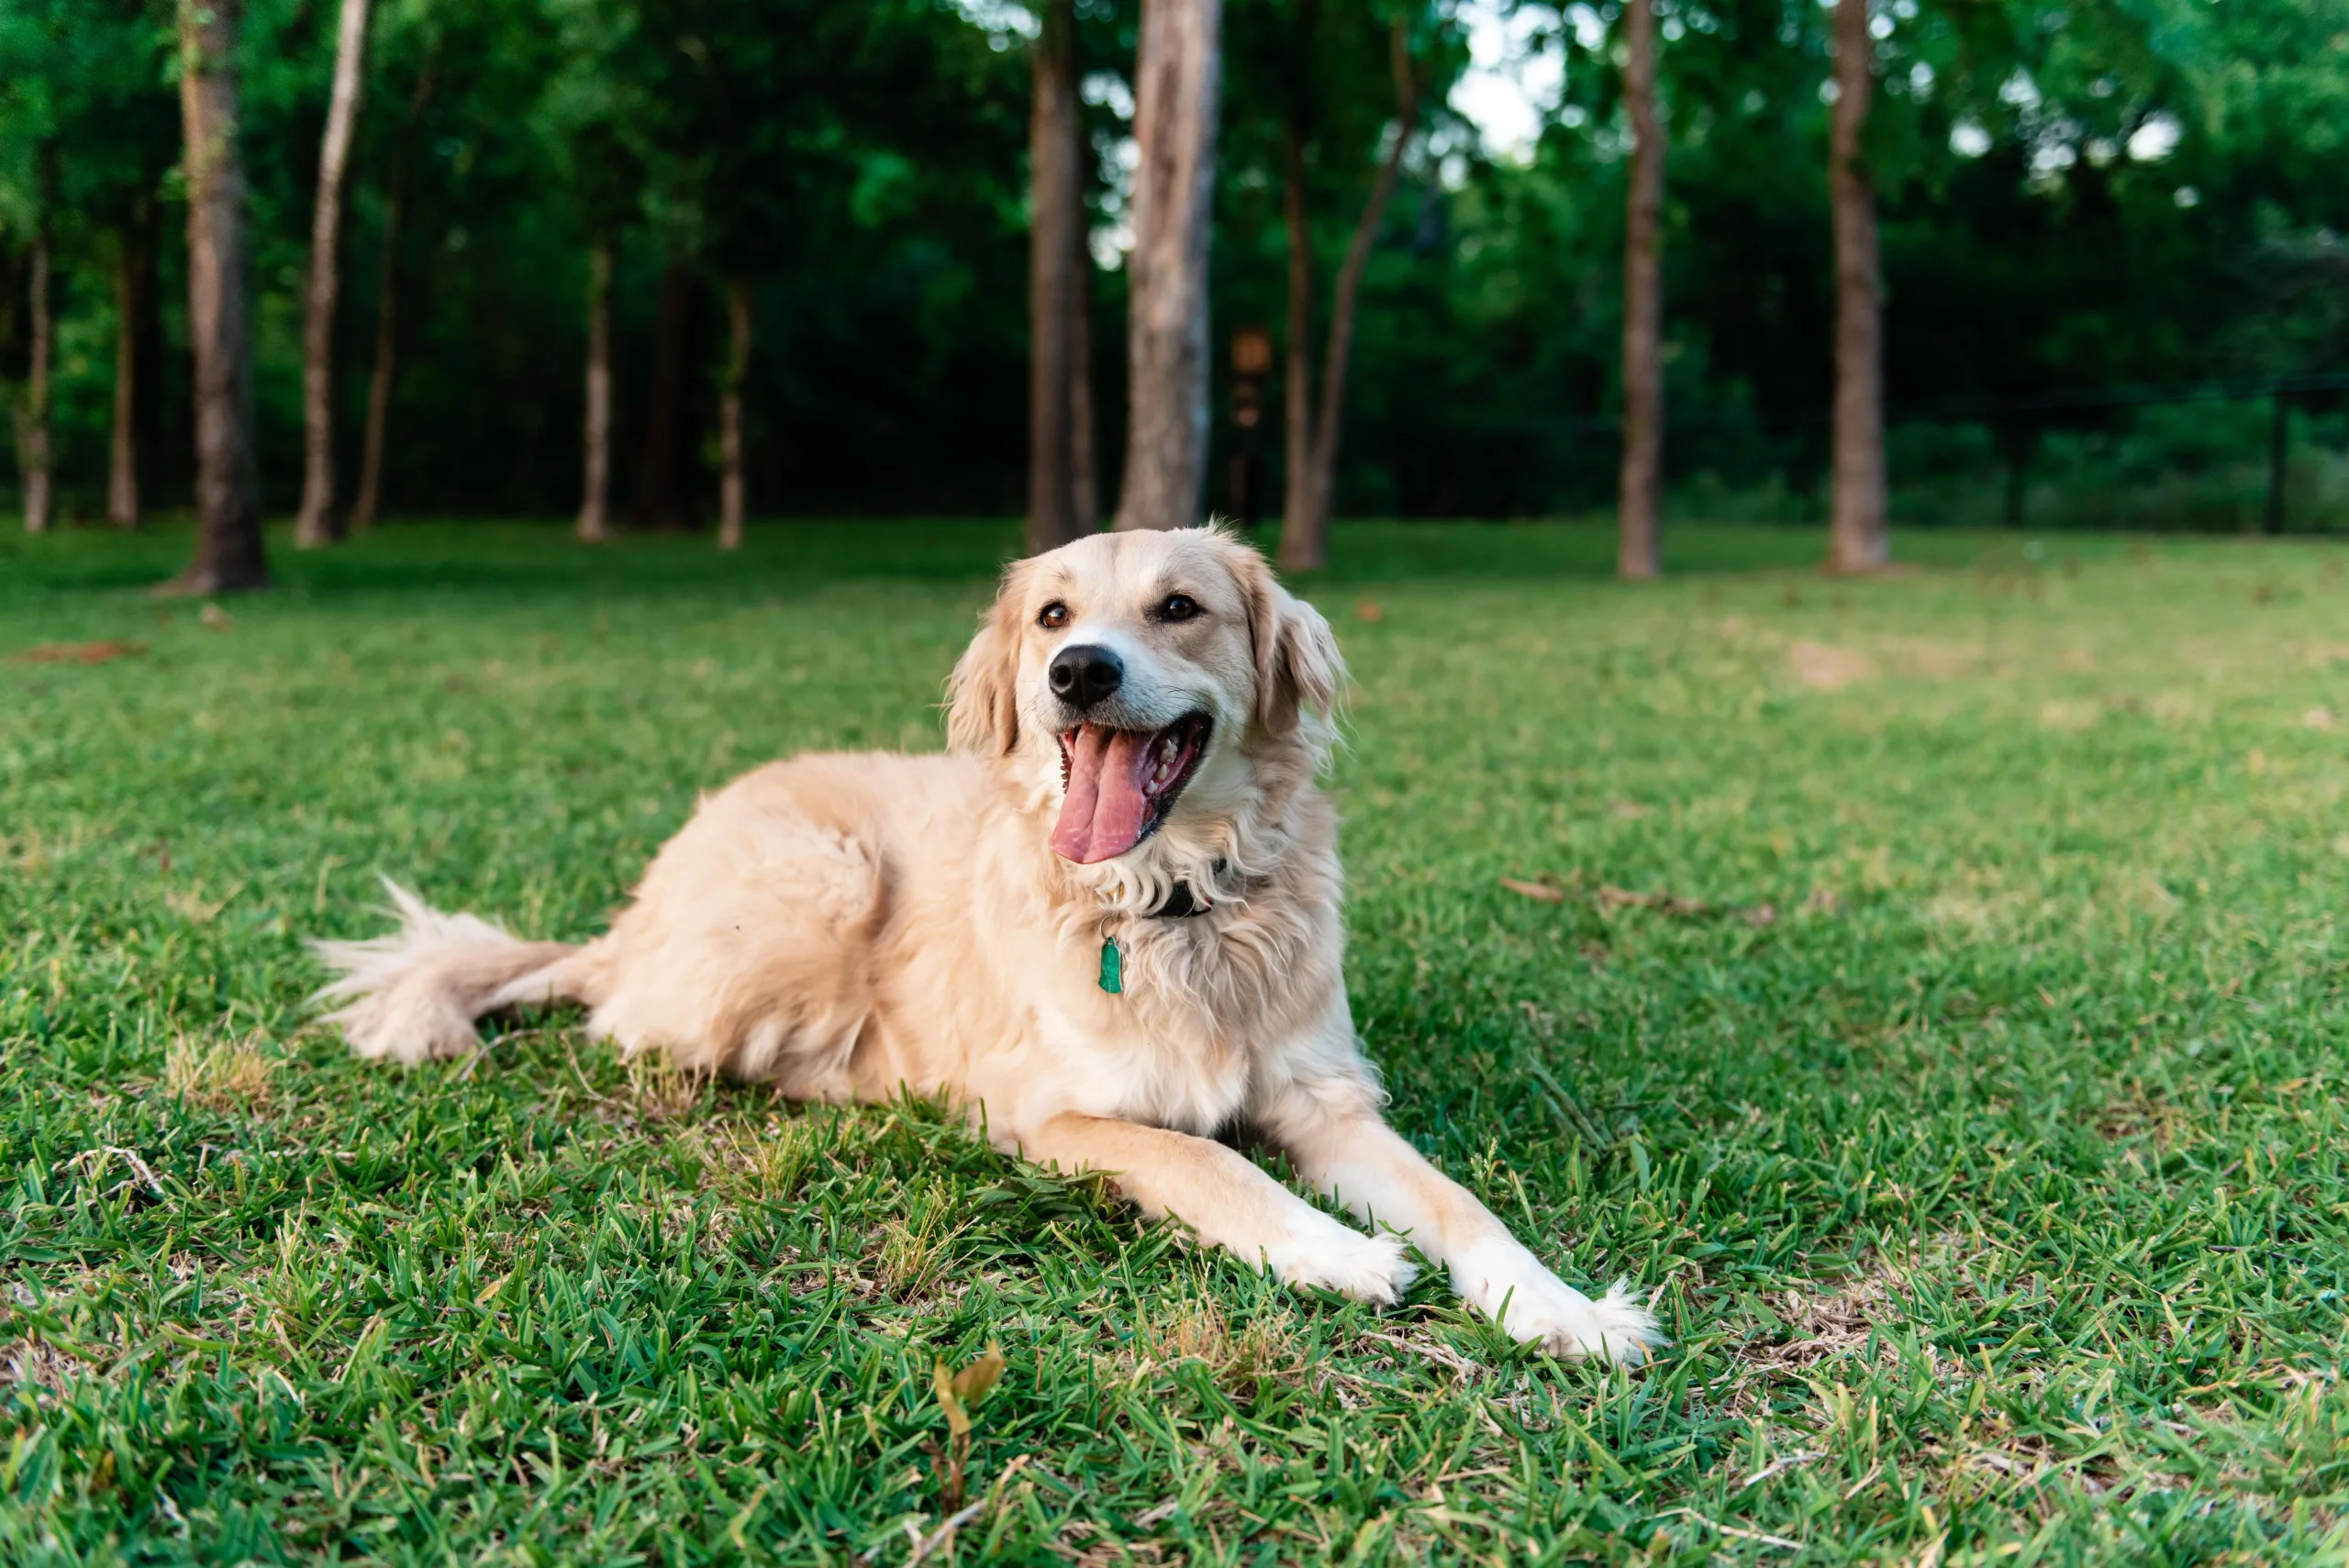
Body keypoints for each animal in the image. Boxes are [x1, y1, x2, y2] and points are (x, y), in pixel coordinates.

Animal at [321, 526, 1663, 1361]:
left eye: (1181, 607)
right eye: (1054, 614)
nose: (1078, 669)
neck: (1170, 906)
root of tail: (630, 918)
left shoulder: (1327, 1102)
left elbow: (1461, 1204)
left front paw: (1562, 1309)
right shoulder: (1052, 1114)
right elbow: (1202, 1159)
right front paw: (1334, 1250)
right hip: (825, 884)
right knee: (651, 1028)